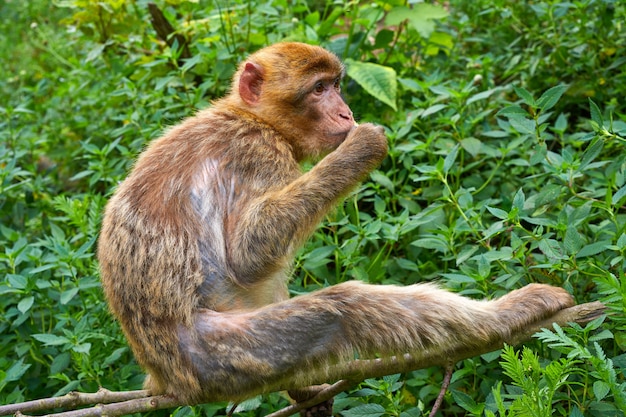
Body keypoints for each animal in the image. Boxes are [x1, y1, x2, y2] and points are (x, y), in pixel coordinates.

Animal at [96, 42, 572, 406]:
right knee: (342, 308)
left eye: (337, 85)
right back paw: (507, 315)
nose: (345, 114)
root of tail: (167, 374)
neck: (254, 118)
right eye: (319, 89)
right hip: (222, 355)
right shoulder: (257, 153)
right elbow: (246, 255)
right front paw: (361, 147)